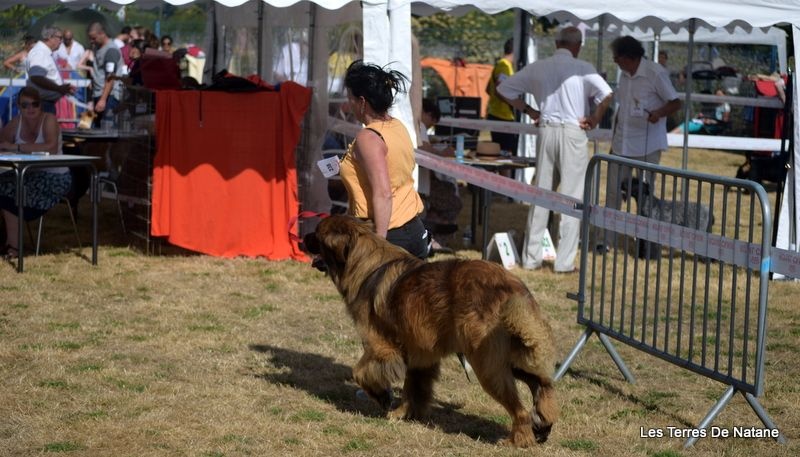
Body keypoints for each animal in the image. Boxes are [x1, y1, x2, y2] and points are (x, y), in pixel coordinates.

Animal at [303, 215, 558, 448]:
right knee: (542, 383)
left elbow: (360, 372)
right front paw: (404, 413)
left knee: (520, 408)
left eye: (317, 234)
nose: (301, 236)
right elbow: (413, 388)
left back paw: (518, 439)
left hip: (486, 364)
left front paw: (382, 397)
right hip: (510, 355)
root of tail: (511, 286)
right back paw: (543, 421)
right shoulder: (420, 354)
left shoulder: (381, 346)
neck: (361, 261)